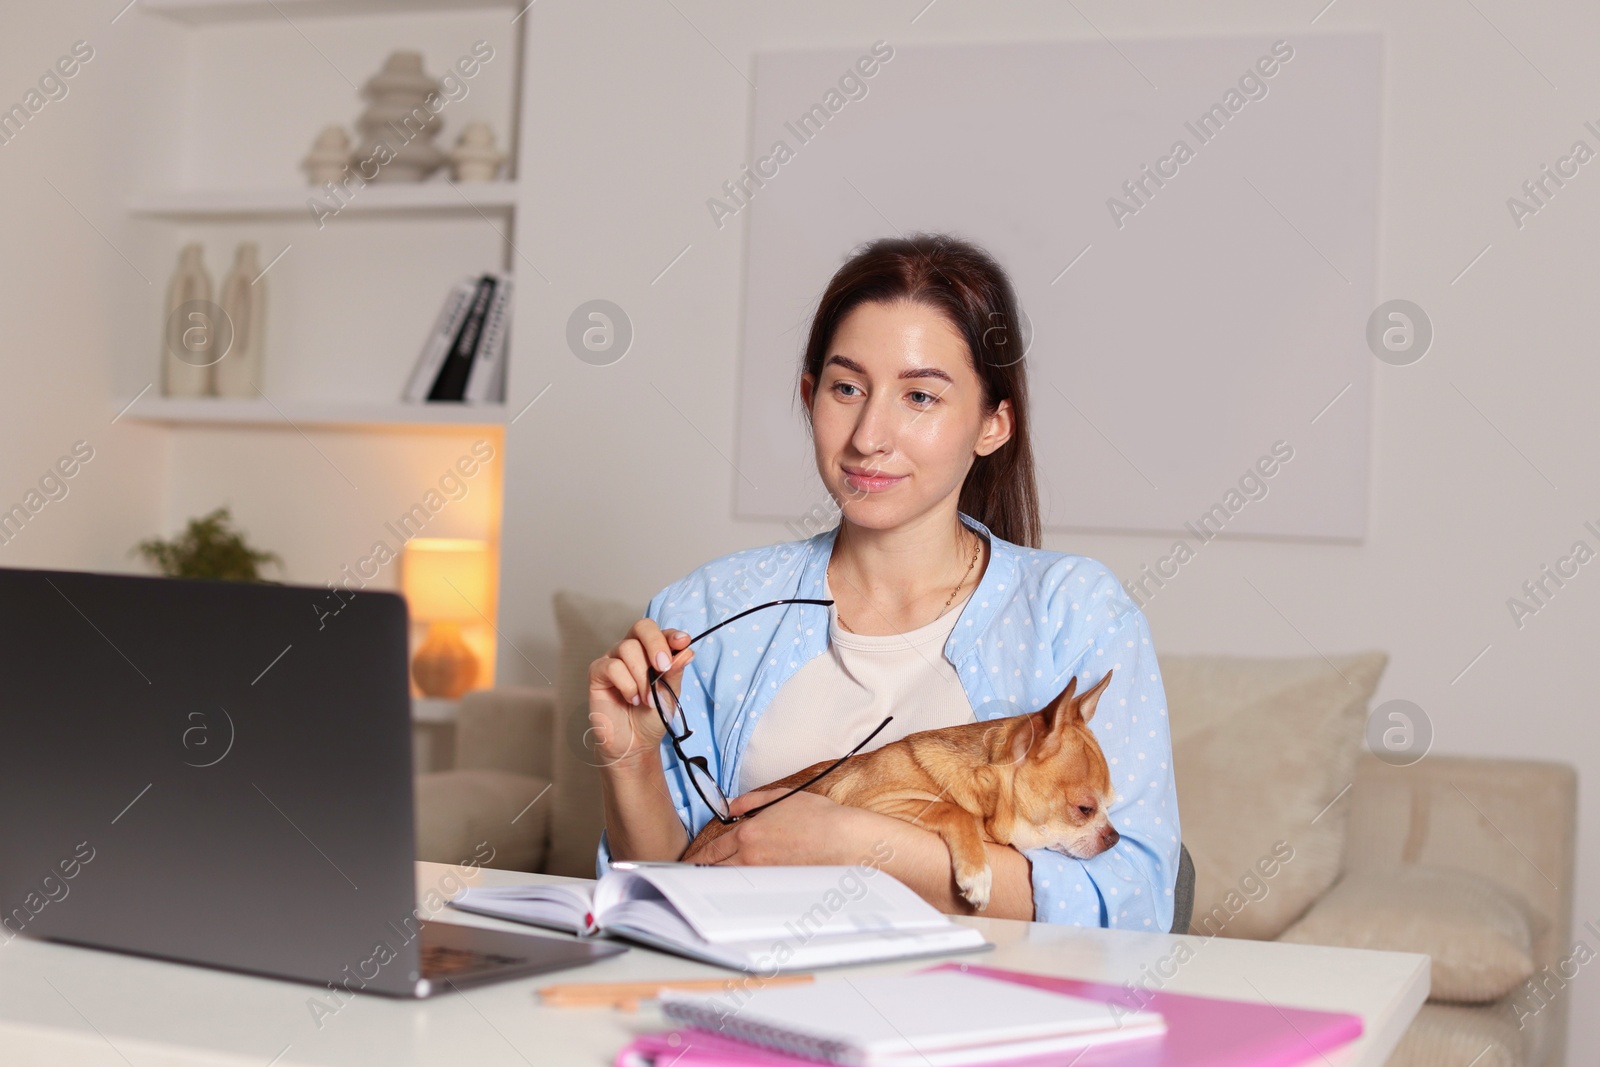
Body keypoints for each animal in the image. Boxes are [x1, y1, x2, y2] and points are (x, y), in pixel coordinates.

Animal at [688, 668, 1126, 908]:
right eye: (1084, 809)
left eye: (1112, 805)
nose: (1115, 837)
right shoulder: (877, 802)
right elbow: (954, 811)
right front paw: (977, 873)